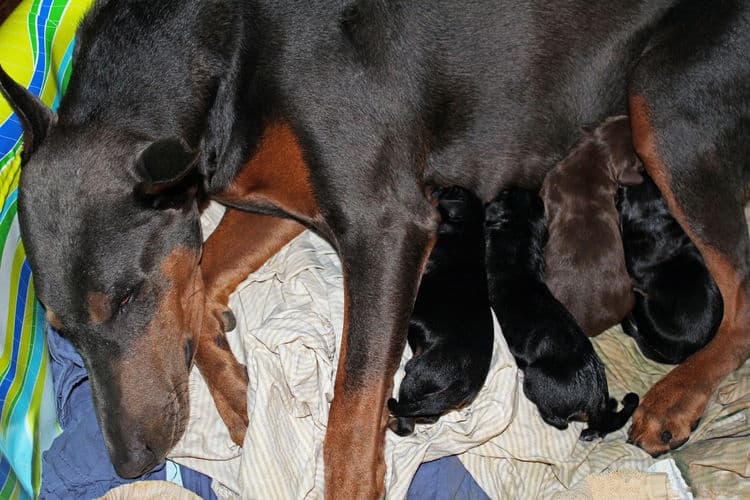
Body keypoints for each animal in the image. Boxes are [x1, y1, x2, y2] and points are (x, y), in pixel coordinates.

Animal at [390, 186, 496, 436]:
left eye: (449, 189)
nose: (431, 186)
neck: (469, 232)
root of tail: (463, 385)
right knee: (428, 415)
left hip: (415, 378)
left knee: (408, 421)